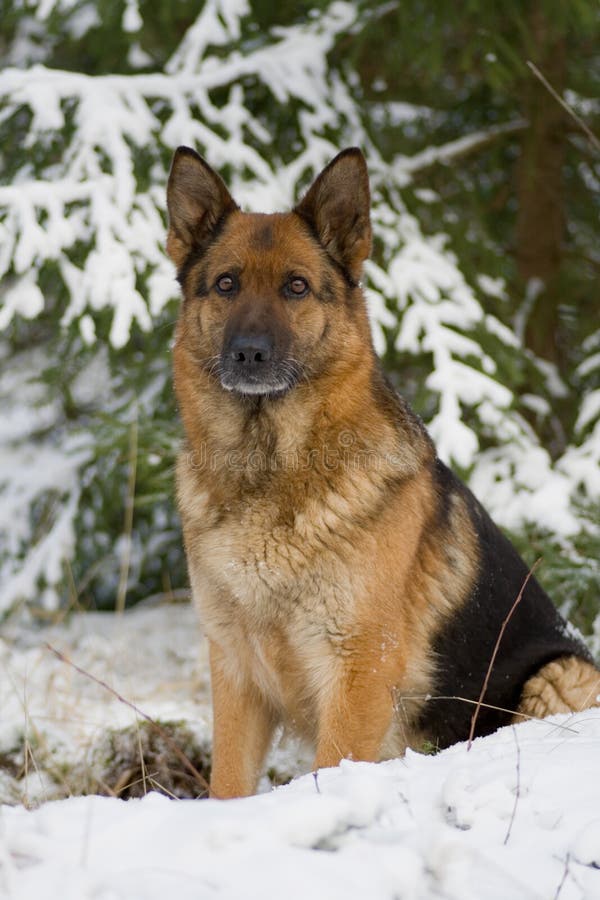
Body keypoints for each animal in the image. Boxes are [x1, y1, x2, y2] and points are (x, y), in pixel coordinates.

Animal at [165, 144, 600, 800]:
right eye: (226, 284)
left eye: (296, 287)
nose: (248, 353)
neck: (269, 470)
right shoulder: (236, 673)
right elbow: (229, 785)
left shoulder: (359, 672)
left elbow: (329, 770)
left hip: (560, 674)